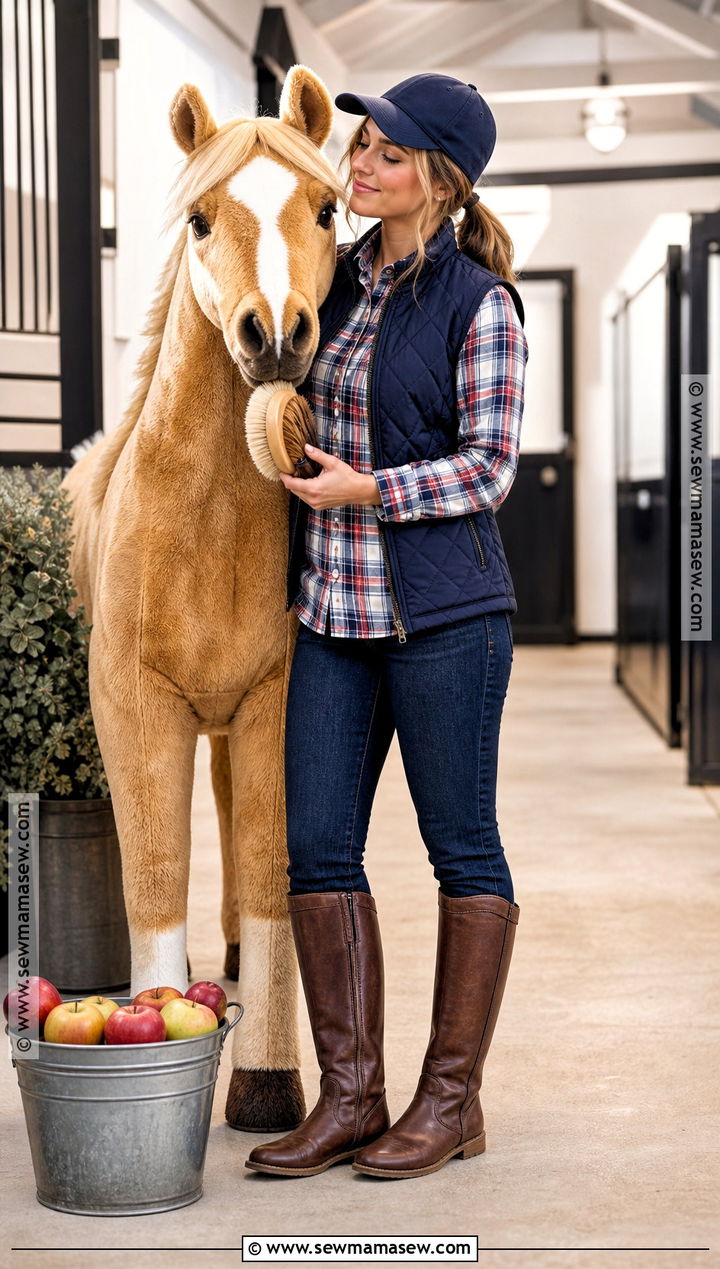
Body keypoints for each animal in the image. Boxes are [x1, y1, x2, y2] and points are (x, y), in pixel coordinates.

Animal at [62, 65, 343, 1130]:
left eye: (326, 208)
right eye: (198, 219)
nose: (276, 334)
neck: (210, 523)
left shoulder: (274, 705)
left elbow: (267, 874)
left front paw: (265, 1085)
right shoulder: (138, 712)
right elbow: (155, 876)